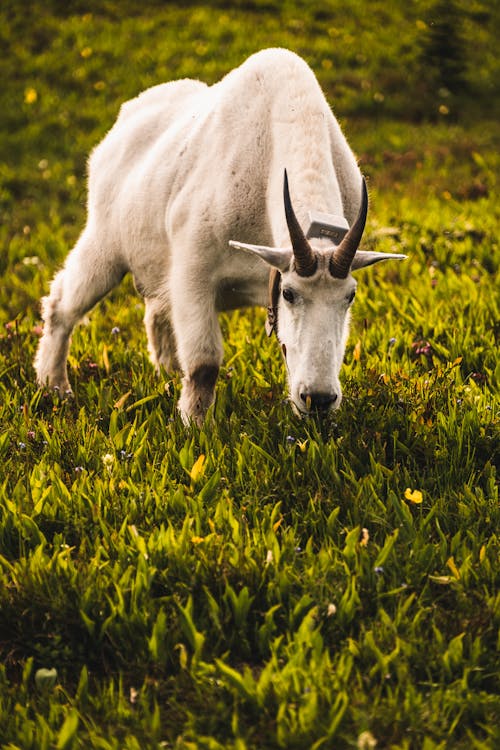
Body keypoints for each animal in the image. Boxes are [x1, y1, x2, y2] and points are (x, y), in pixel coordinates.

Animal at [37, 48, 408, 424]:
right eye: (289, 294)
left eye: (350, 296)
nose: (317, 398)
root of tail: (123, 121)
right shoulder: (195, 271)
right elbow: (204, 364)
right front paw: (196, 427)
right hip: (105, 244)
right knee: (62, 305)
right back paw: (55, 386)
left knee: (156, 311)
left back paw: (166, 378)